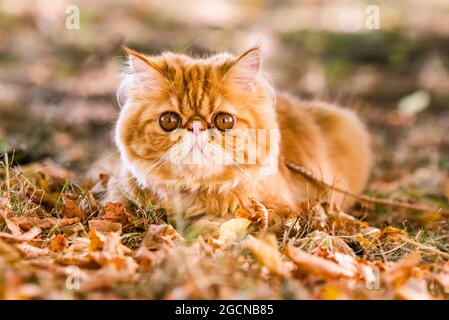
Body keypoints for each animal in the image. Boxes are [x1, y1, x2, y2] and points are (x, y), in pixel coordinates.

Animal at [107, 47, 370, 232]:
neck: (194, 193)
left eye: (224, 120)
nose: (196, 126)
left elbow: (218, 224)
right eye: (169, 120)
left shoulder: (280, 210)